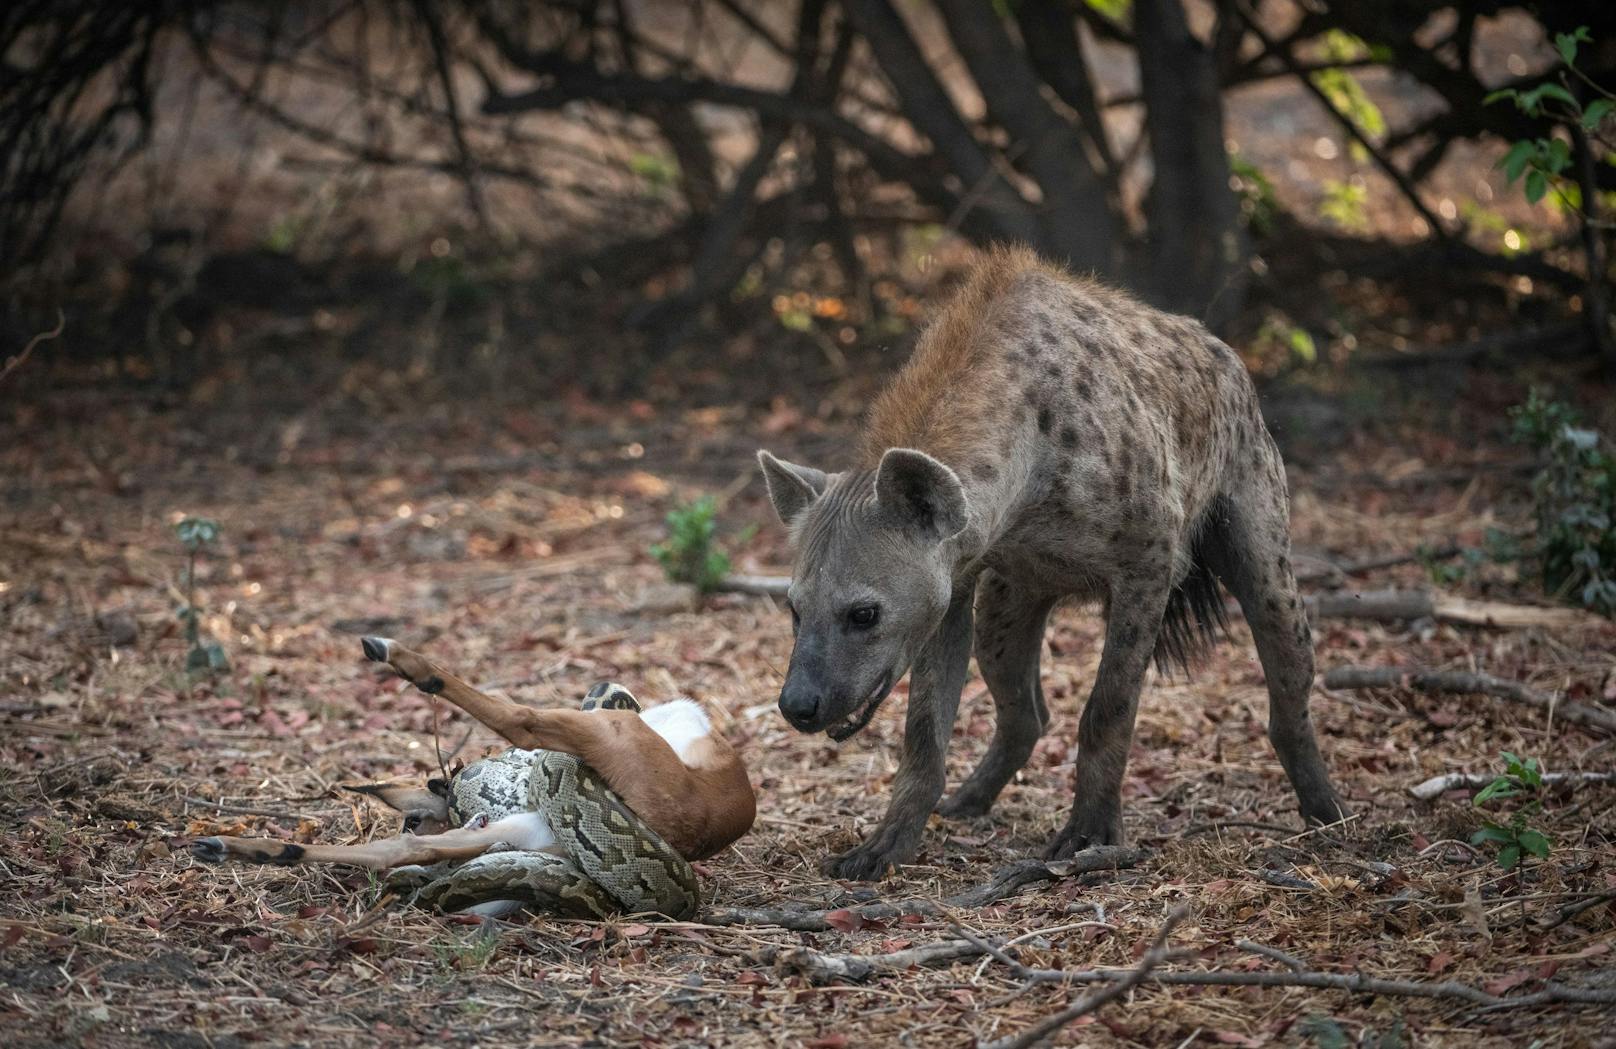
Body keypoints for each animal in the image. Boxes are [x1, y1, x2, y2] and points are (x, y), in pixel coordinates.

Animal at [762, 244, 1344, 872]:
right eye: (794, 610)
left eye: (864, 613)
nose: (797, 704)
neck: (1032, 464)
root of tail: (1228, 357)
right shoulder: (958, 582)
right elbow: (923, 730)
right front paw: (884, 845)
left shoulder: (1150, 563)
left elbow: (1108, 706)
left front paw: (1089, 836)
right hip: (1006, 603)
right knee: (1022, 708)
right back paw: (968, 800)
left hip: (1259, 527)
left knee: (1288, 671)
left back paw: (1328, 813)